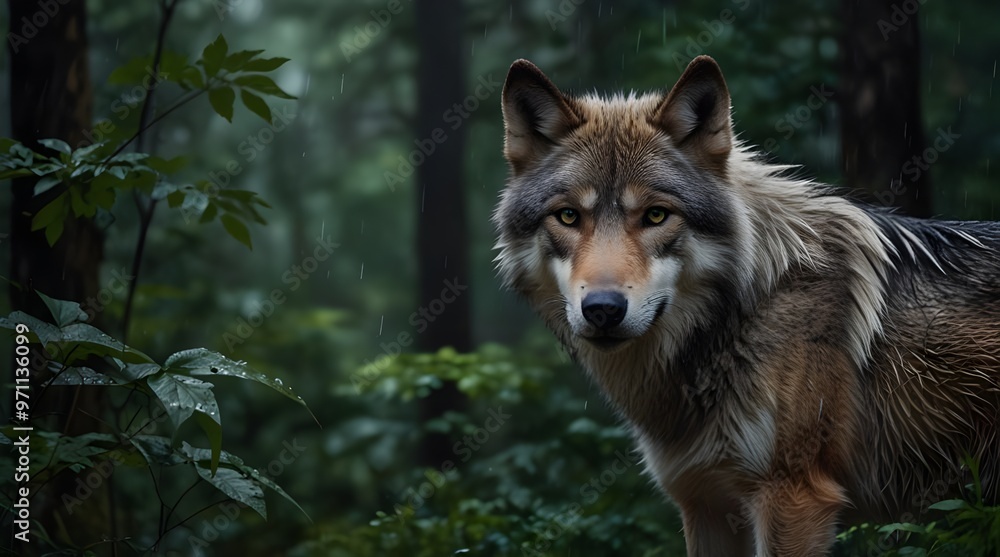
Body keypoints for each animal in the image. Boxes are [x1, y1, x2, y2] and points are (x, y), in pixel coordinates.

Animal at [493, 55, 1000, 556]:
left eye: (656, 215)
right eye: (568, 216)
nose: (602, 309)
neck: (741, 315)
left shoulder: (794, 496)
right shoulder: (705, 502)